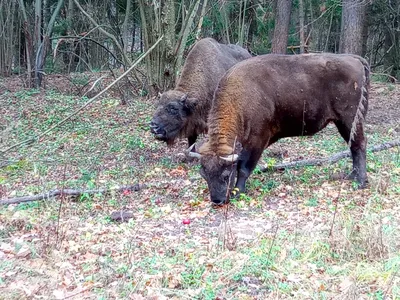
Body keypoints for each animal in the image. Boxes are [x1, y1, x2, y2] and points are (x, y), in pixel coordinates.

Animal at [189, 53, 370, 204]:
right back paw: (352, 176)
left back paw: (360, 181)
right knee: (354, 146)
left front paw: (239, 192)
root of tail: (353, 58)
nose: (217, 201)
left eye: (226, 175)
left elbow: (244, 168)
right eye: (203, 174)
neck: (238, 98)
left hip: (349, 120)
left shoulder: (257, 140)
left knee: (358, 144)